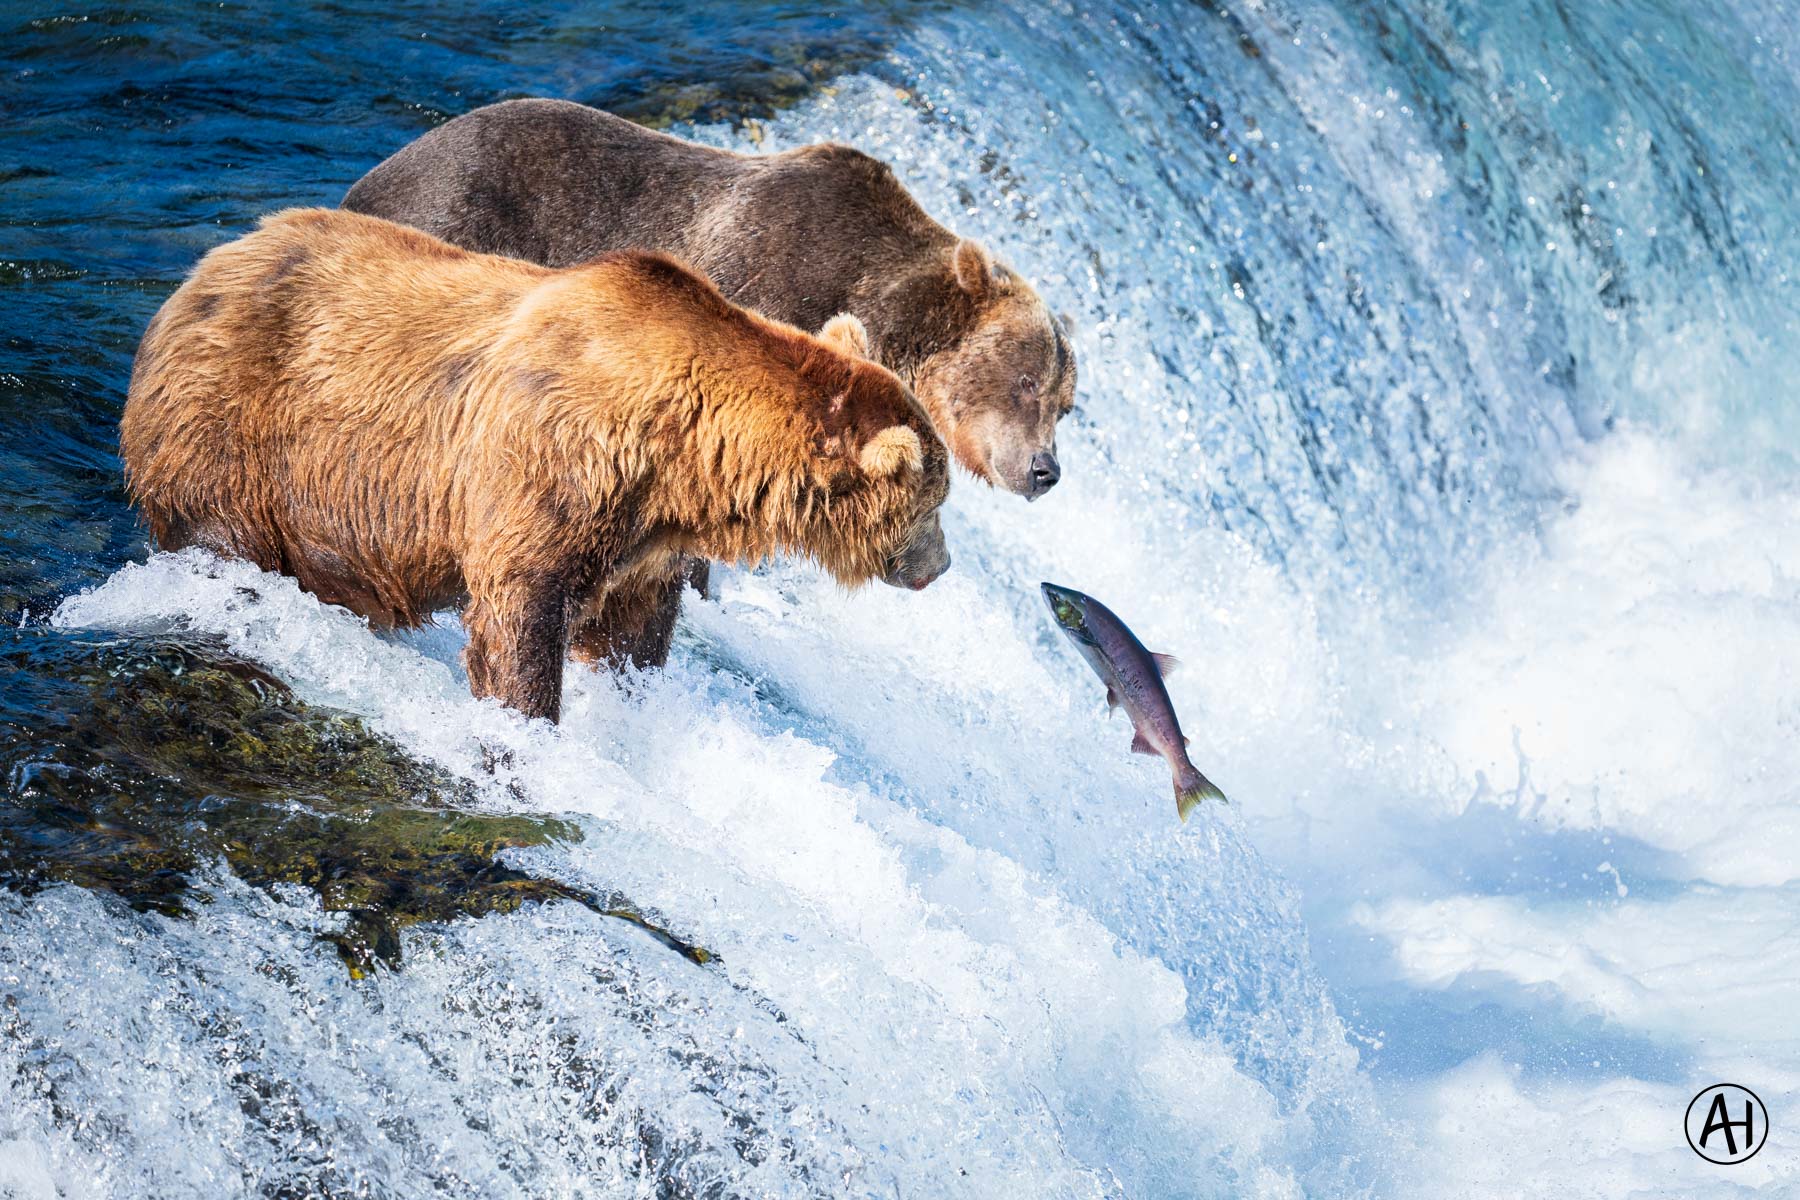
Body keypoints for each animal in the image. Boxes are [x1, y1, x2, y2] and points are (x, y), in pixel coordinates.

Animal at [121, 208, 951, 722]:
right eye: (935, 502)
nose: (939, 565)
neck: (679, 457)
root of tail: (200, 274)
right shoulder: (549, 470)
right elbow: (518, 614)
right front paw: (525, 725)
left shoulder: (639, 536)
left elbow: (631, 630)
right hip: (230, 437)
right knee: (223, 537)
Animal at [342, 98, 1077, 667]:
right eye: (1028, 381)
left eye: (1066, 406)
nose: (1045, 470)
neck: (876, 297)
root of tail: (380, 173)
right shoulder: (763, 286)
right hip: (456, 222)